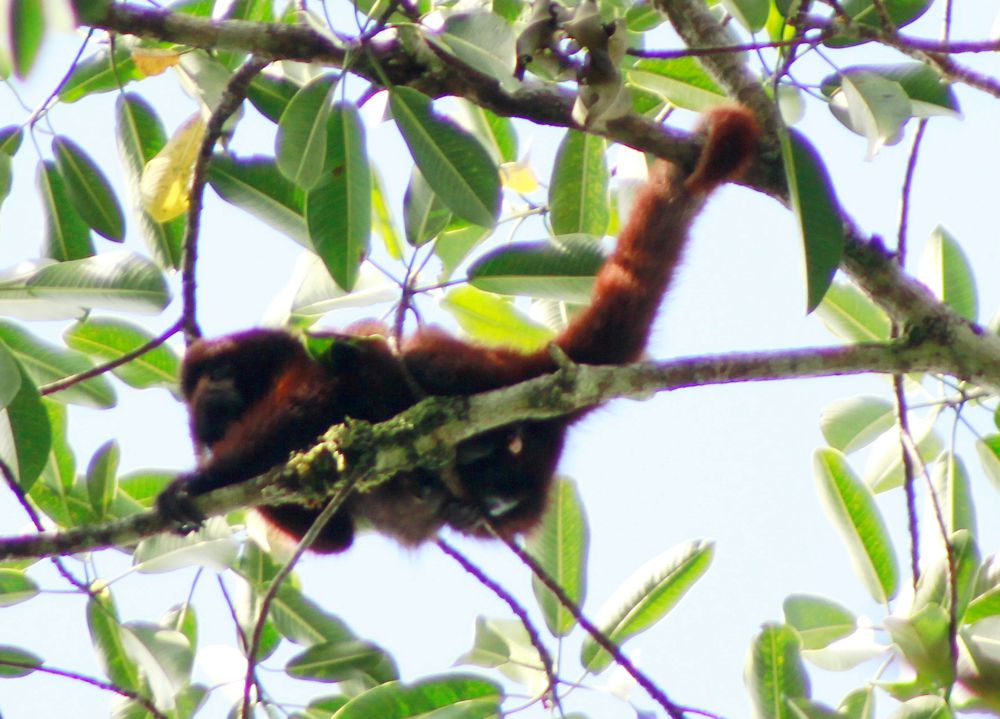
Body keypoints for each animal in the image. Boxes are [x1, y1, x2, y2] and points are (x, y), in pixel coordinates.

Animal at [156, 106, 761, 553]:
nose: (211, 389)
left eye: (224, 367)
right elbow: (337, 537)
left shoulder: (299, 365)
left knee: (398, 363)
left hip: (474, 369)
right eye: (204, 382)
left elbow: (309, 401)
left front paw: (193, 484)